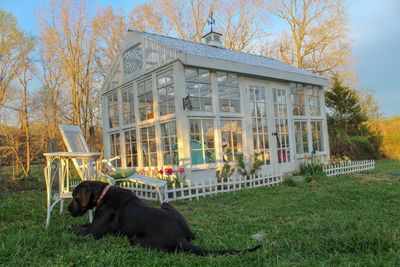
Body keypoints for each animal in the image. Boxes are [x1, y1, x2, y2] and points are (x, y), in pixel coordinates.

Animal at [68, 181, 262, 256]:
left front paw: (69, 227)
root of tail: (180, 237)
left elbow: (78, 229)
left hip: (135, 238)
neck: (103, 194)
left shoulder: (94, 232)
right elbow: (83, 225)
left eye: (75, 197)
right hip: (166, 205)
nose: (69, 210)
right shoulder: (93, 225)